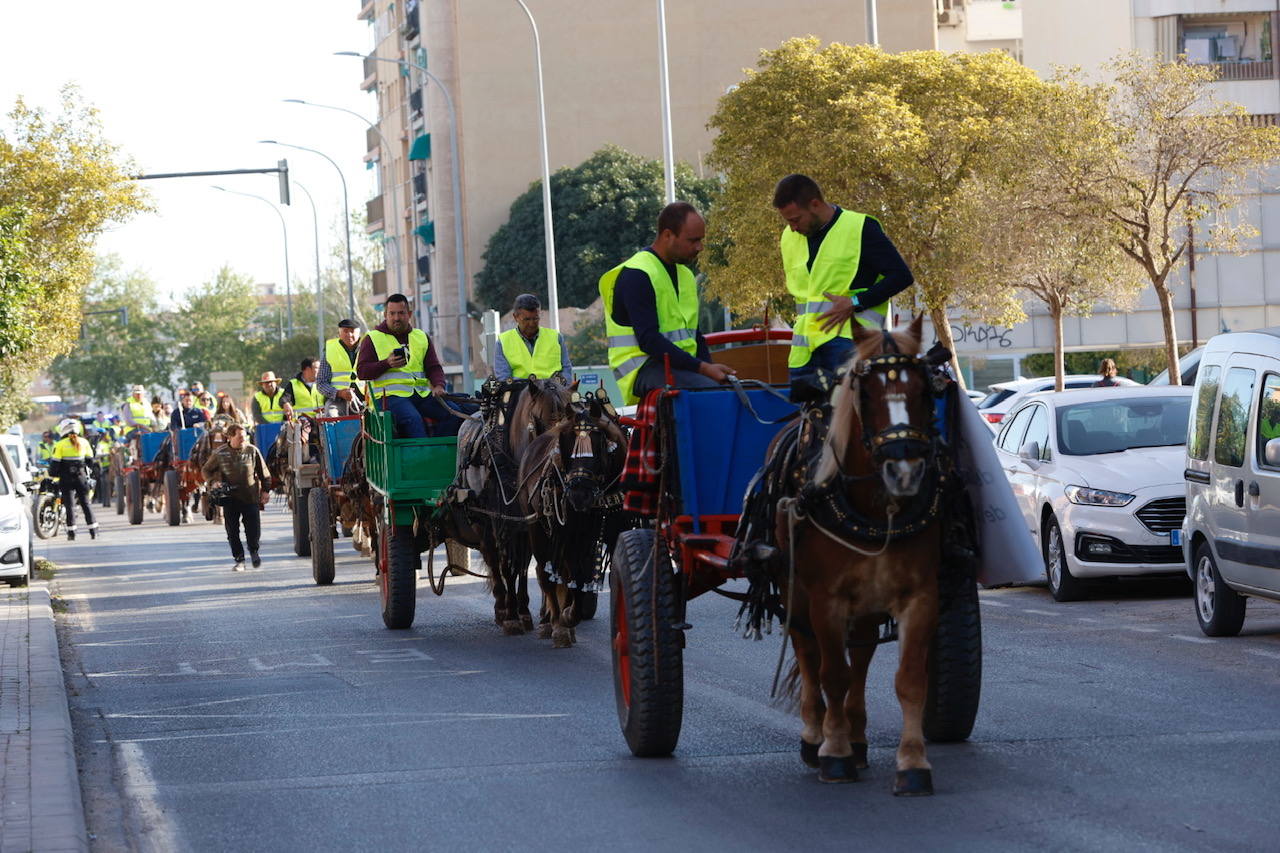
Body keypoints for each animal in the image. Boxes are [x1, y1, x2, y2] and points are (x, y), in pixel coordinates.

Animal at [773, 315, 947, 794]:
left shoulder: (920, 597)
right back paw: (815, 734)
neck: (875, 509)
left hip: (868, 602)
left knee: (862, 656)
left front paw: (912, 762)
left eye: (925, 391)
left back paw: (857, 735)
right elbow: (832, 672)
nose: (904, 470)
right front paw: (834, 753)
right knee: (807, 652)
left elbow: (909, 680)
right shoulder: (825, 600)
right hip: (795, 590)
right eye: (865, 394)